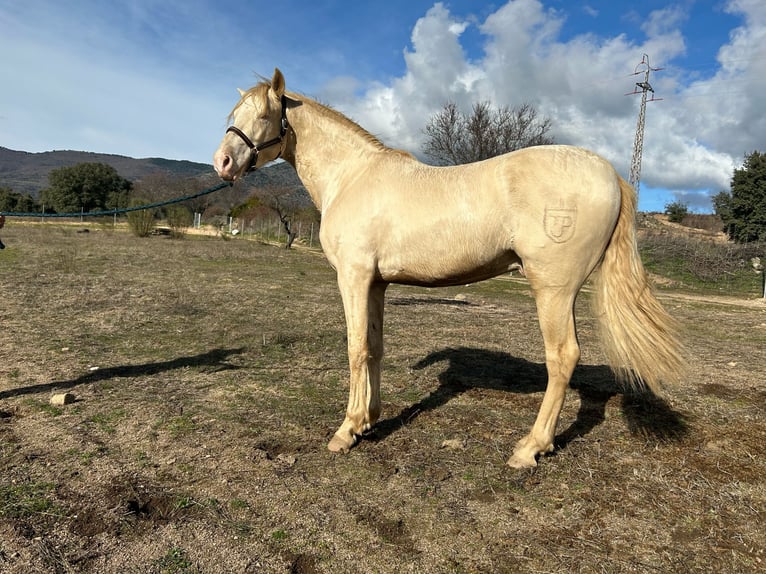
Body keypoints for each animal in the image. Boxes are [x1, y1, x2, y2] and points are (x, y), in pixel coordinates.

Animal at [213, 70, 688, 470]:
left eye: (265, 114)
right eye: (233, 115)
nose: (222, 162)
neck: (352, 177)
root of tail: (609, 173)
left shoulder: (353, 278)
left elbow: (356, 350)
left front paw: (346, 431)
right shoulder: (377, 284)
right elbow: (375, 348)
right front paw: (369, 420)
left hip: (554, 289)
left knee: (563, 357)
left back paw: (529, 449)